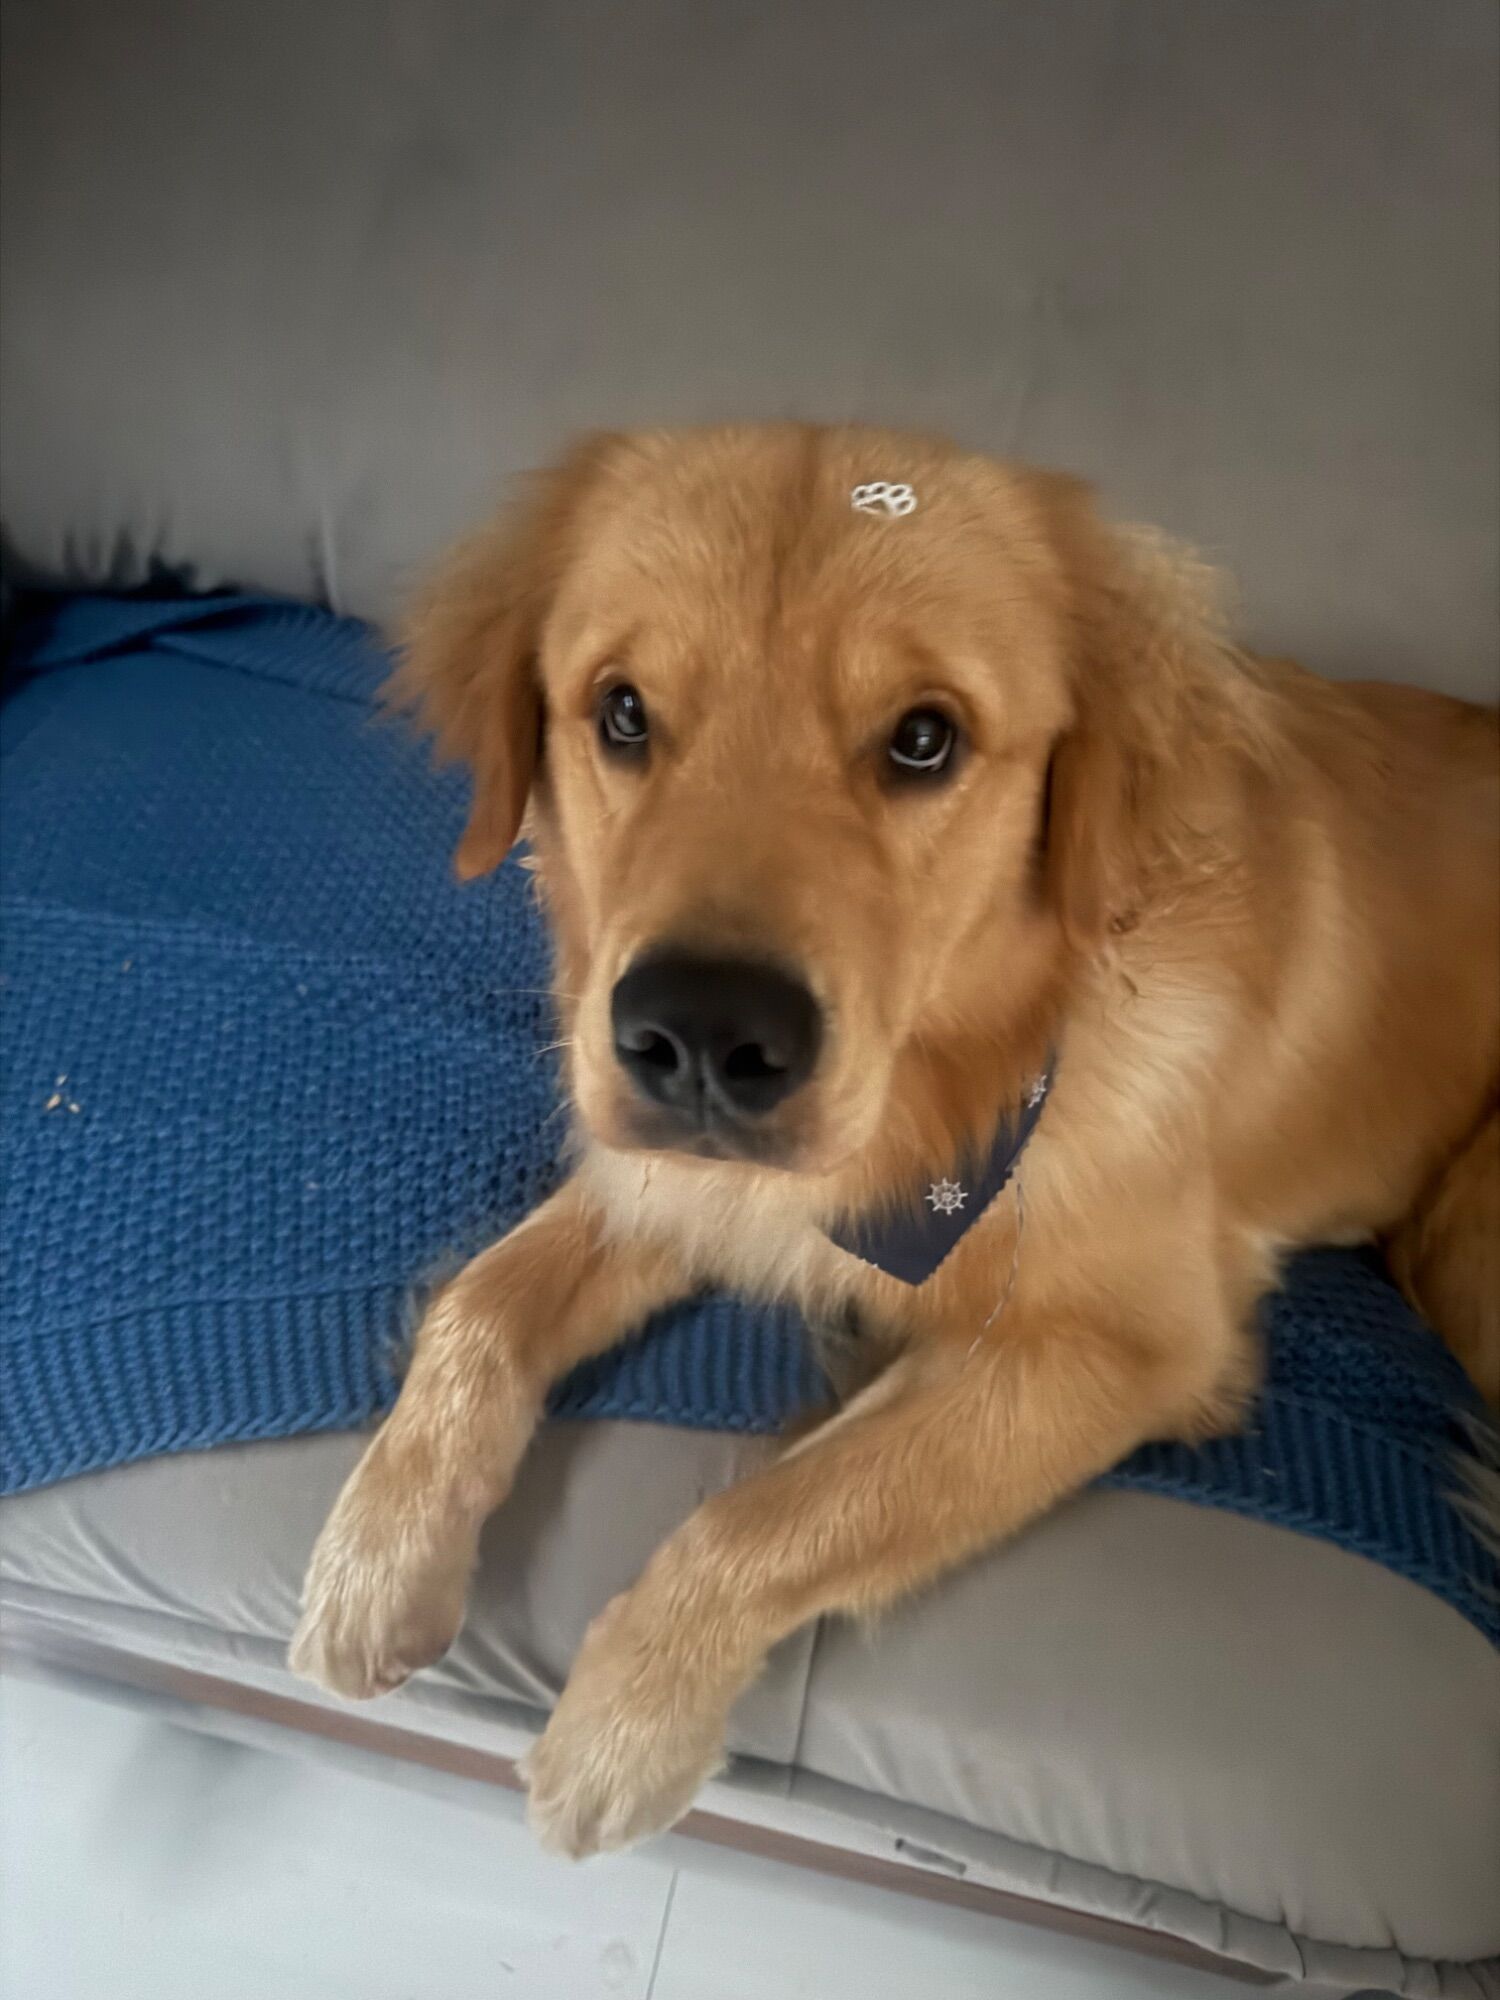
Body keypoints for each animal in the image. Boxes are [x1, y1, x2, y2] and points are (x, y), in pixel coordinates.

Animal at [291, 424, 1500, 1857]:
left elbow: (775, 1509)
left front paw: (621, 1724)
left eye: (925, 738)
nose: (700, 1036)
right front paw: (374, 1559)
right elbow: (477, 1306)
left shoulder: (1122, 1351)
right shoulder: (678, 1178)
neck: (963, 1079)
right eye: (623, 711)